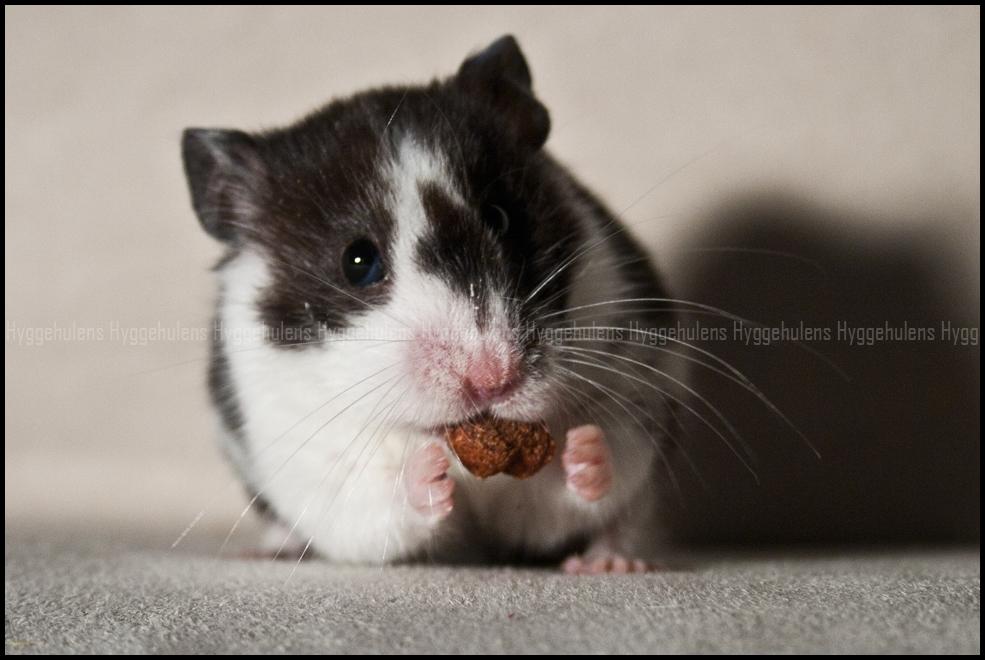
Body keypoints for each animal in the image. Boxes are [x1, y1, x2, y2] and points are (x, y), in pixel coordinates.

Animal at [181, 35, 681, 573]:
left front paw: (584, 447)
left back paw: (609, 562)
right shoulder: (304, 446)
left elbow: (566, 488)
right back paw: (268, 548)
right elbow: (374, 502)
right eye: (357, 262)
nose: (493, 380)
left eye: (501, 218)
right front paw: (427, 469)